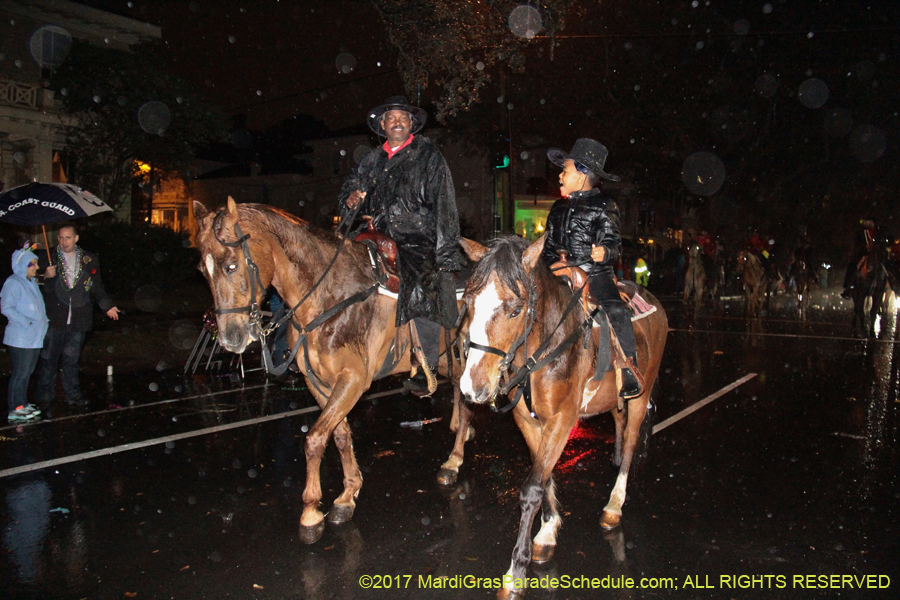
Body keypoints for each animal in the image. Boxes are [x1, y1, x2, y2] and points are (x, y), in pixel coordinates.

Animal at [190, 200, 472, 544]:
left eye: (231, 266)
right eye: (203, 271)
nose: (230, 338)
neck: (327, 296)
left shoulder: (353, 380)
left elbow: (314, 439)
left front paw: (311, 513)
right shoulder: (320, 383)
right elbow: (338, 434)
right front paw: (348, 495)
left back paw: (453, 461)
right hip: (445, 358)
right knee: (457, 385)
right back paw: (461, 430)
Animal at [460, 236, 664, 600]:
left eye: (515, 309)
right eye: (468, 302)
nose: (472, 388)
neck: (543, 350)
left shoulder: (561, 421)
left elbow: (531, 489)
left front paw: (516, 571)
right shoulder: (529, 422)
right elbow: (544, 476)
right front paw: (547, 531)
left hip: (641, 395)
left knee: (630, 443)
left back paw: (614, 505)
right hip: (616, 400)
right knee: (619, 424)